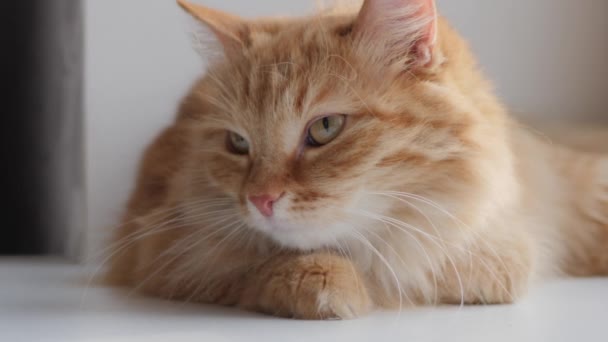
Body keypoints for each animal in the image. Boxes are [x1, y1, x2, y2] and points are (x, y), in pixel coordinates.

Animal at [104, 0, 608, 320]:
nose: (259, 201)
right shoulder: (167, 246)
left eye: (325, 128)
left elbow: (485, 267)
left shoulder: (497, 239)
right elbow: (254, 263)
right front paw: (320, 278)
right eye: (237, 143)